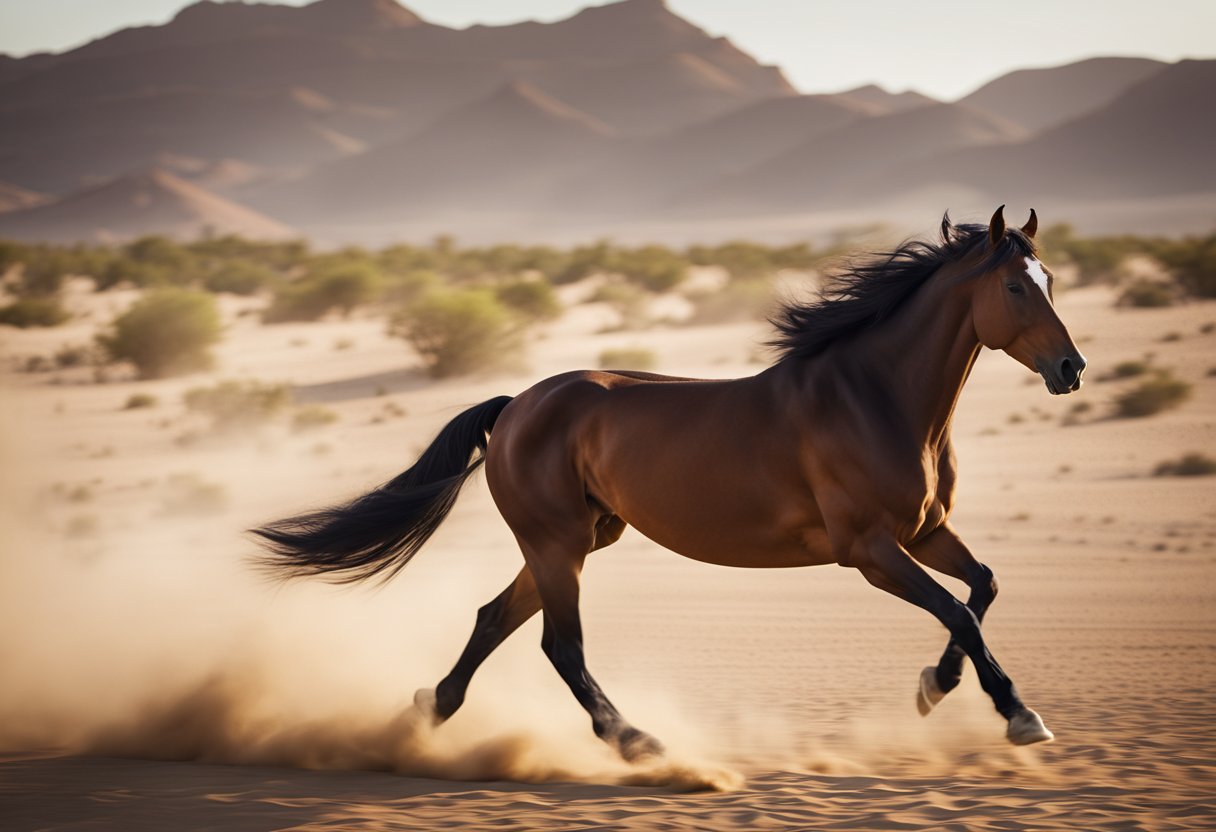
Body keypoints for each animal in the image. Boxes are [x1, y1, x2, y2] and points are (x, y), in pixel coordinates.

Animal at [251, 208, 1089, 759]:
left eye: (1050, 278)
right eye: (1017, 288)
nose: (1071, 367)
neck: (875, 398)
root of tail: (517, 405)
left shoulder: (927, 532)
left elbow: (981, 588)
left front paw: (935, 686)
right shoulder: (870, 551)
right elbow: (960, 611)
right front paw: (1018, 715)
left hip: (577, 539)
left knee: (495, 619)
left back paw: (429, 712)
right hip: (558, 544)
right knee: (560, 643)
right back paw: (633, 740)